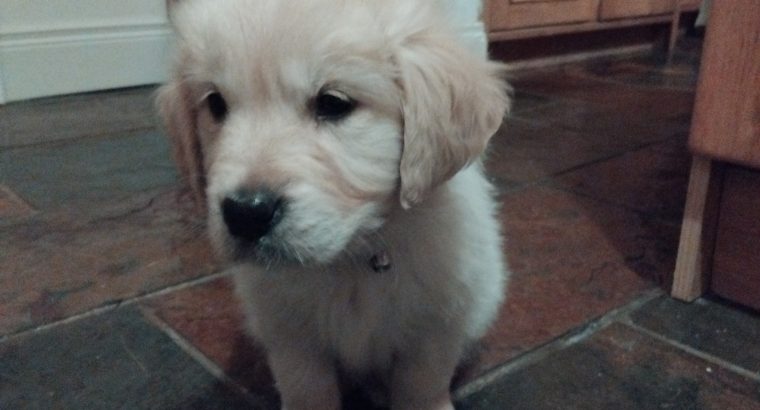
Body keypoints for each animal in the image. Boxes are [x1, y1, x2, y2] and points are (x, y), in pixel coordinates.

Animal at [159, 0, 510, 410]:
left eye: (332, 103)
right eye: (216, 103)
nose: (246, 213)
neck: (350, 259)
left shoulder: (438, 323)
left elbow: (421, 384)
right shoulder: (291, 337)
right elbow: (306, 389)